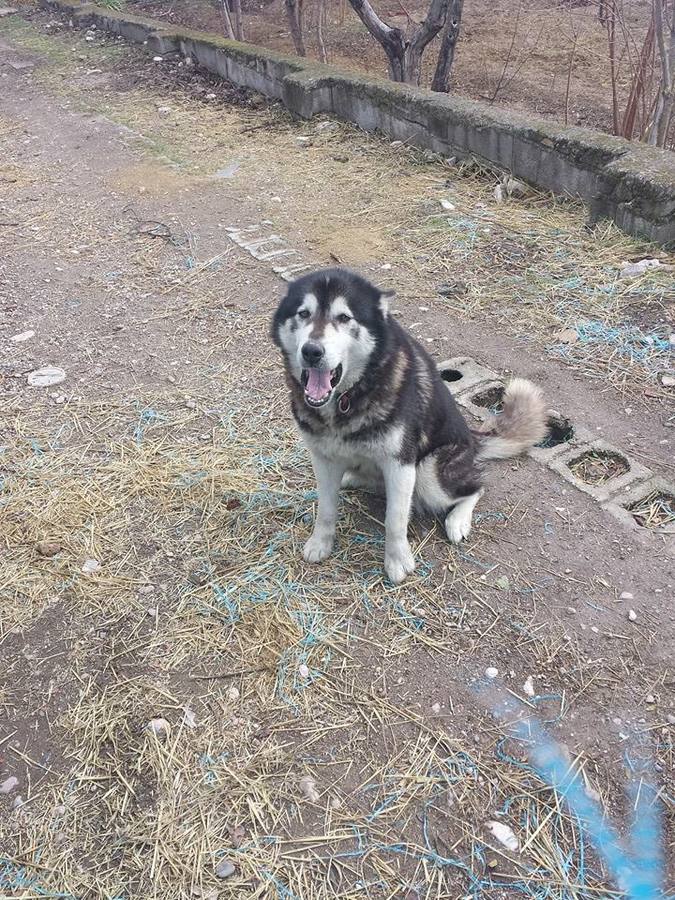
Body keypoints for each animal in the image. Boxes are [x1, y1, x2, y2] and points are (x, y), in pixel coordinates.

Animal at [270, 268, 548, 584]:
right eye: (304, 313)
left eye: (344, 317)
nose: (312, 351)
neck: (348, 397)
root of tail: (473, 439)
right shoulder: (323, 458)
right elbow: (326, 508)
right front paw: (320, 543)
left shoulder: (401, 464)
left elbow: (395, 519)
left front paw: (397, 561)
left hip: (428, 472)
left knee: (476, 488)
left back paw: (458, 520)